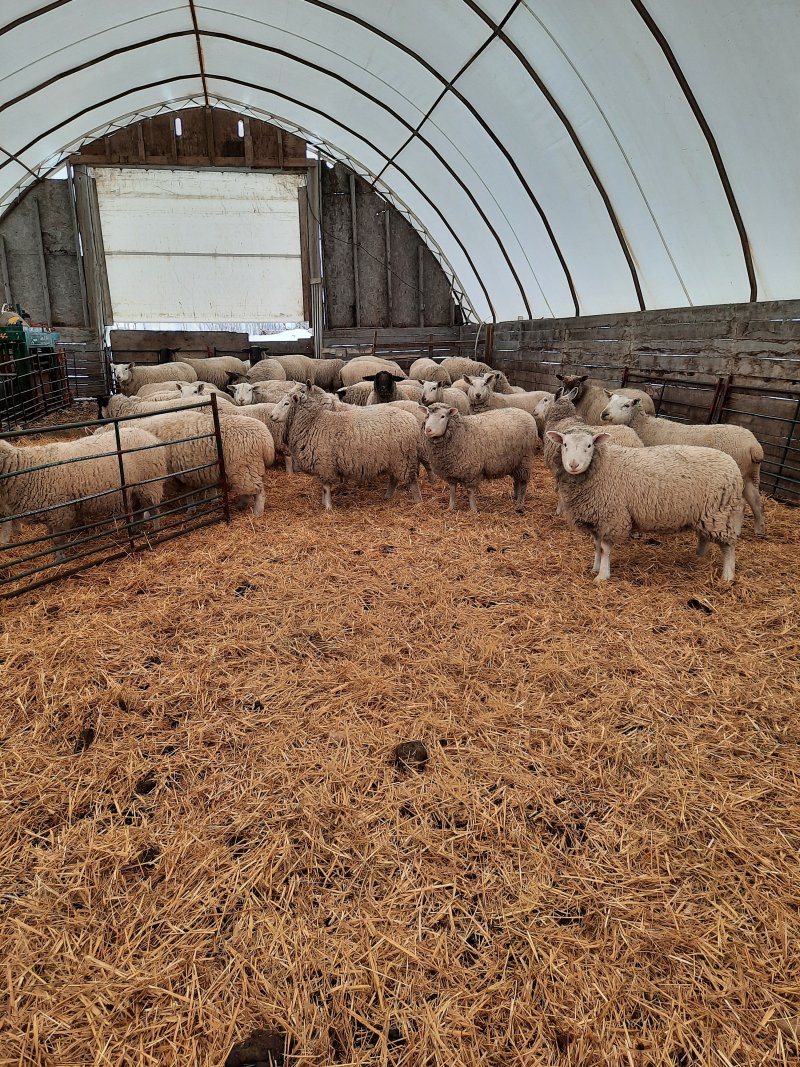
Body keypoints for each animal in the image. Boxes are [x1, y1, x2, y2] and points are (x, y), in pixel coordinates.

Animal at [0, 429, 167, 558]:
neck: (25, 469)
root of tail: (152, 437)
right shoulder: (50, 514)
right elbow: (52, 538)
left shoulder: (60, 512)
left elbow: (58, 540)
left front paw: (61, 559)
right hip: (135, 489)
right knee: (139, 509)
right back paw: (136, 529)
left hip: (149, 484)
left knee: (154, 510)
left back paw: (155, 531)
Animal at [96, 411, 274, 516]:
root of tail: (266, 439)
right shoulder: (182, 472)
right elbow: (188, 493)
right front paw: (191, 508)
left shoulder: (155, 477)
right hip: (244, 469)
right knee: (248, 489)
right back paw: (242, 503)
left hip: (244, 466)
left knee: (259, 491)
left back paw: (257, 512)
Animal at [270, 382, 421, 509]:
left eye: (287, 403)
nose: (271, 416)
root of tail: (412, 419)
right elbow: (325, 485)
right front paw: (326, 500)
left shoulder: (326, 463)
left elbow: (326, 487)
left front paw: (328, 507)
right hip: (394, 458)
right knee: (394, 478)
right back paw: (388, 496)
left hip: (403, 457)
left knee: (411, 480)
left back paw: (417, 501)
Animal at [545, 427, 744, 583]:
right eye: (564, 445)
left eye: (589, 446)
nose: (573, 465)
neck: (603, 466)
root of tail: (732, 463)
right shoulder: (597, 519)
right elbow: (596, 546)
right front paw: (595, 567)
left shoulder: (612, 517)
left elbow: (605, 549)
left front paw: (602, 575)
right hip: (706, 514)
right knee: (704, 536)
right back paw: (699, 557)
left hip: (721, 513)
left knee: (728, 547)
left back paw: (727, 576)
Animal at [599, 394, 765, 537]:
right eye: (610, 400)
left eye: (626, 405)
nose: (604, 414)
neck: (644, 425)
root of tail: (754, 446)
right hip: (749, 475)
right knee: (756, 501)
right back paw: (759, 530)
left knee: (741, 505)